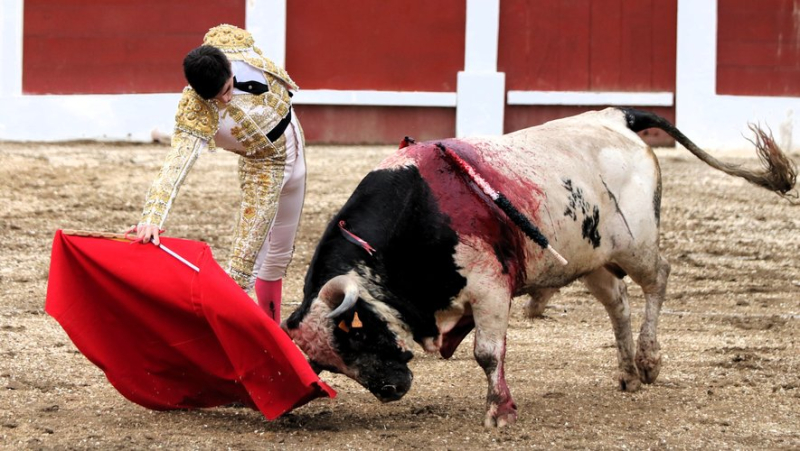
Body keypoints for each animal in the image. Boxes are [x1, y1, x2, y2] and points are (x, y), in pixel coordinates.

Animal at [282, 107, 792, 430]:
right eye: (325, 364)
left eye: (356, 333)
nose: (391, 389)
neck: (420, 210)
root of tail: (618, 116)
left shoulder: (489, 287)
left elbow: (488, 354)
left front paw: (501, 412)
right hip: (592, 259)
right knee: (619, 303)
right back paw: (627, 371)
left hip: (637, 244)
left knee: (659, 279)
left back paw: (648, 361)